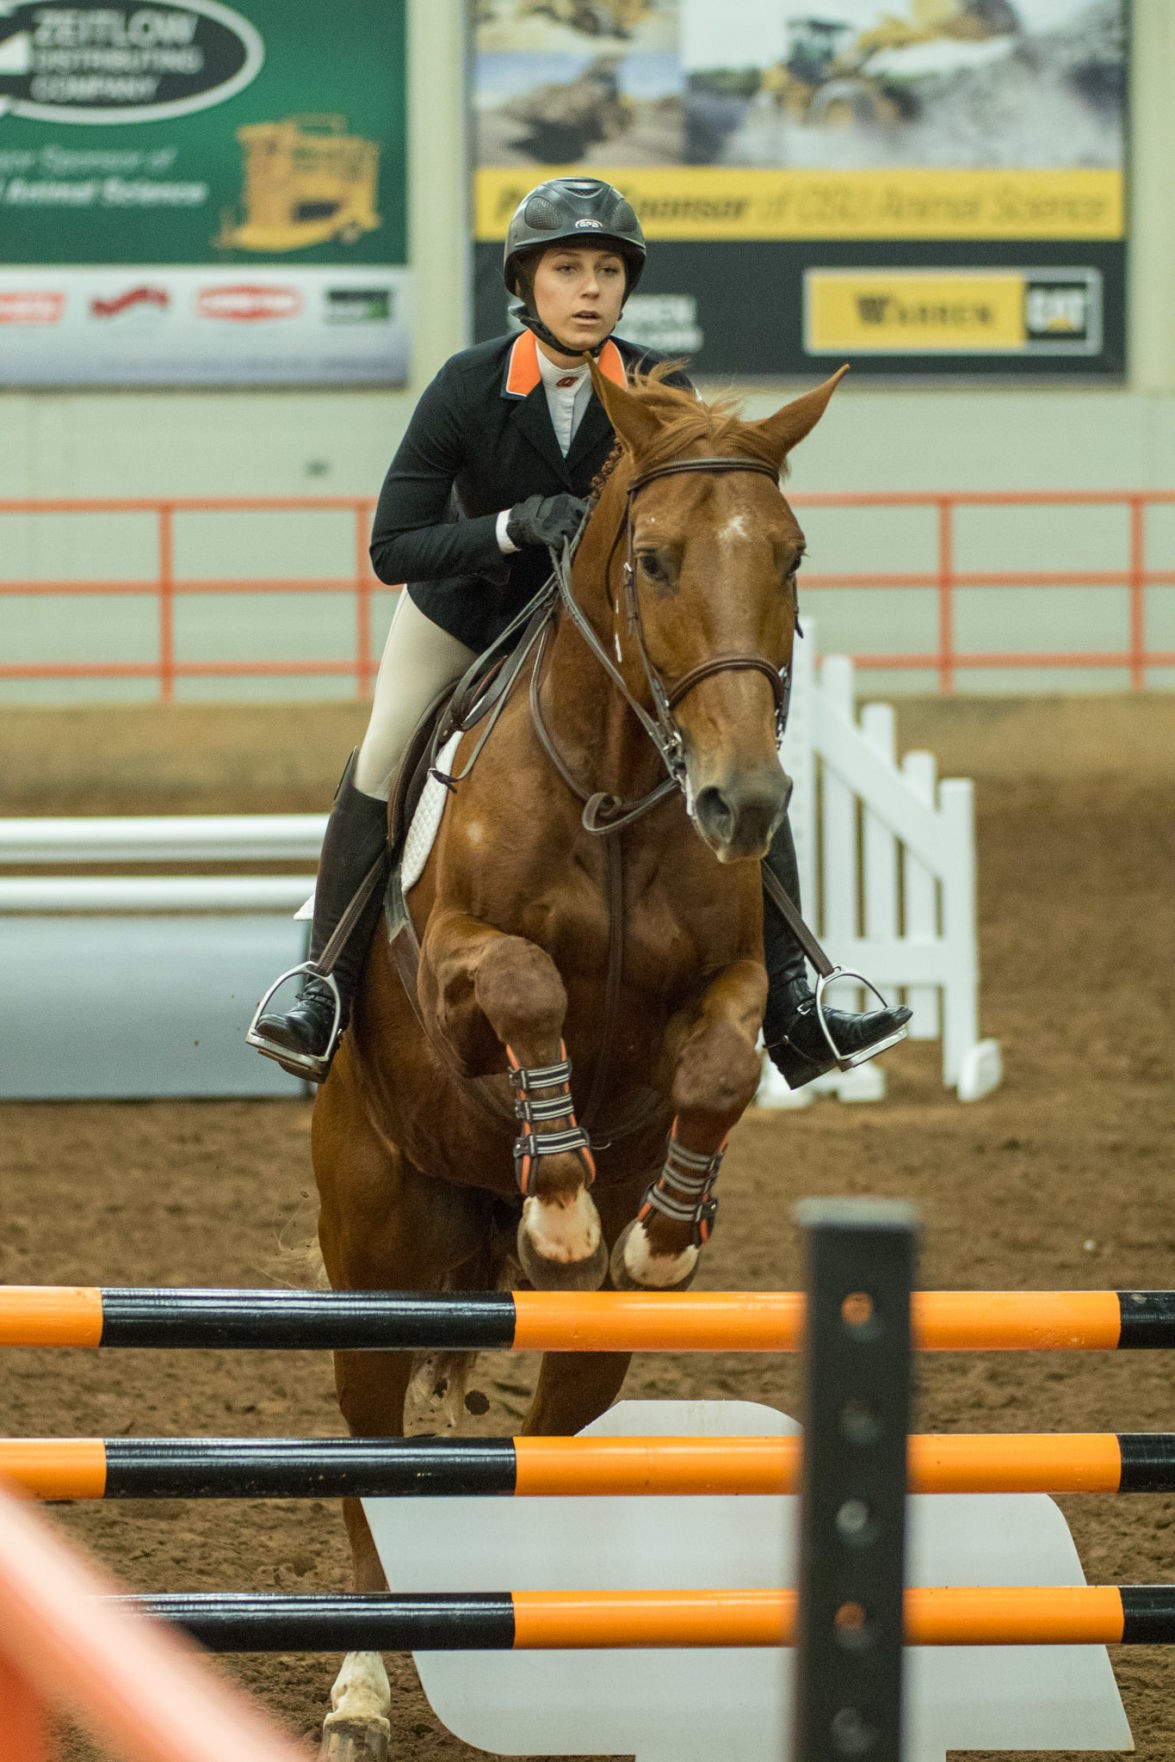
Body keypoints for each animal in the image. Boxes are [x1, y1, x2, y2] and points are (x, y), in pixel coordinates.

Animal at [311, 361, 845, 1762]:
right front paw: (554, 1194)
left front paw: (657, 1227)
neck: (613, 782)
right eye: (652, 560)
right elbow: (526, 986)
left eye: (789, 553)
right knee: (366, 1462)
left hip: (579, 1347)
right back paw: (357, 1691)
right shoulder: (451, 966)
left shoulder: (729, 982)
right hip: (372, 1259)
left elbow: (715, 1070)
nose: (742, 801)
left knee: (556, 1438)